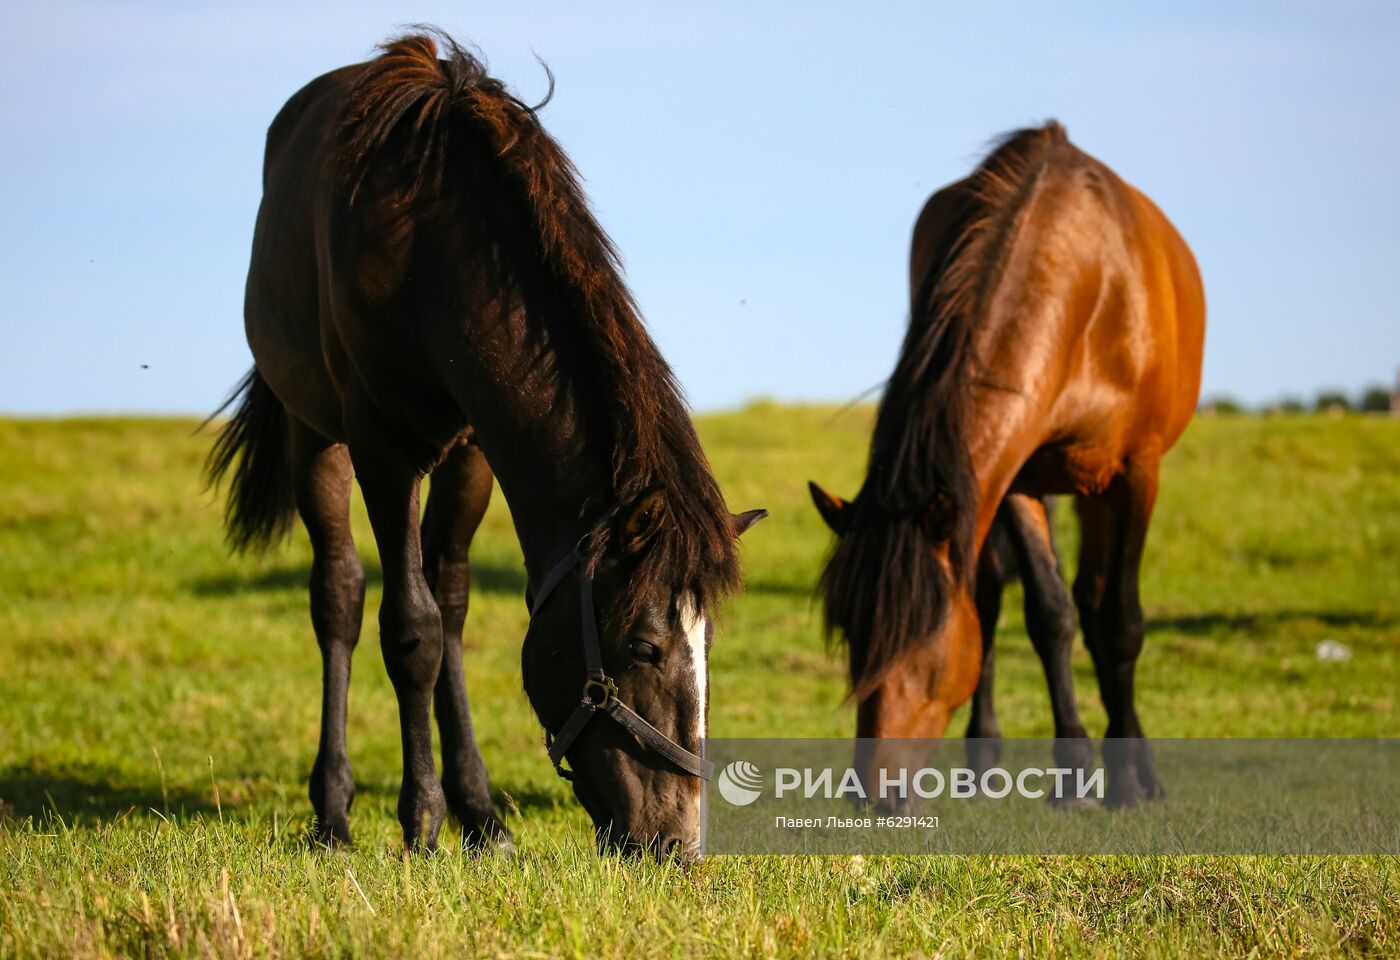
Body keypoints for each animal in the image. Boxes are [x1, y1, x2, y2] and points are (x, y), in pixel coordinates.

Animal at [204, 30, 767, 862]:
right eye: (643, 649)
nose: (678, 841)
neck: (427, 243)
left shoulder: (473, 451)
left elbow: (451, 615)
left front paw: (478, 816)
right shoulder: (382, 447)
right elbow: (410, 629)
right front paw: (419, 820)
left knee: (442, 598)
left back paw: (471, 810)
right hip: (316, 436)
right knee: (338, 597)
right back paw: (334, 813)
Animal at [812, 123, 1204, 806]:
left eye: (922, 639)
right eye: (852, 633)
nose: (874, 793)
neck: (1085, 289)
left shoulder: (1137, 471)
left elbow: (1120, 622)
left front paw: (1131, 779)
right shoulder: (1018, 478)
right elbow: (1049, 615)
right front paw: (1074, 771)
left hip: (1098, 487)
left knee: (1098, 601)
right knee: (1001, 595)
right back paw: (984, 758)